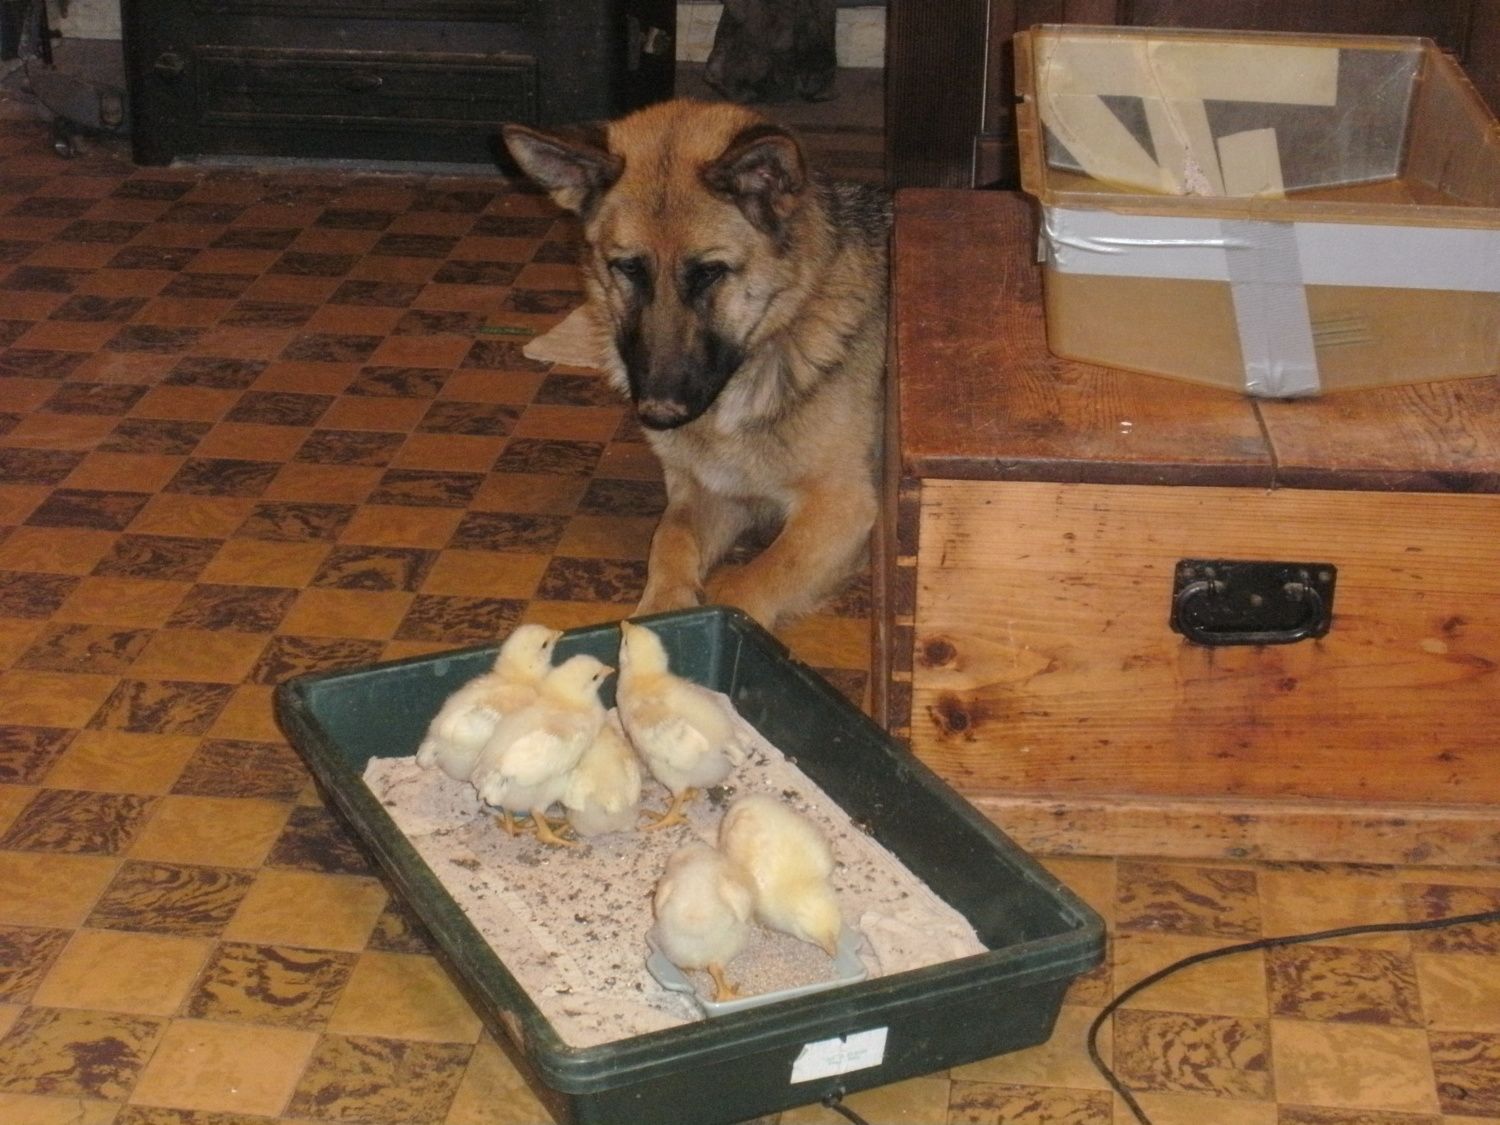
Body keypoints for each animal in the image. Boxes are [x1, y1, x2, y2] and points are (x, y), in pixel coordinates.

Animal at [501, 99, 890, 631]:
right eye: (629, 269)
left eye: (709, 273)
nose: (659, 413)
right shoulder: (706, 495)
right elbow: (670, 542)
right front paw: (658, 616)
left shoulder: (840, 508)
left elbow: (751, 582)